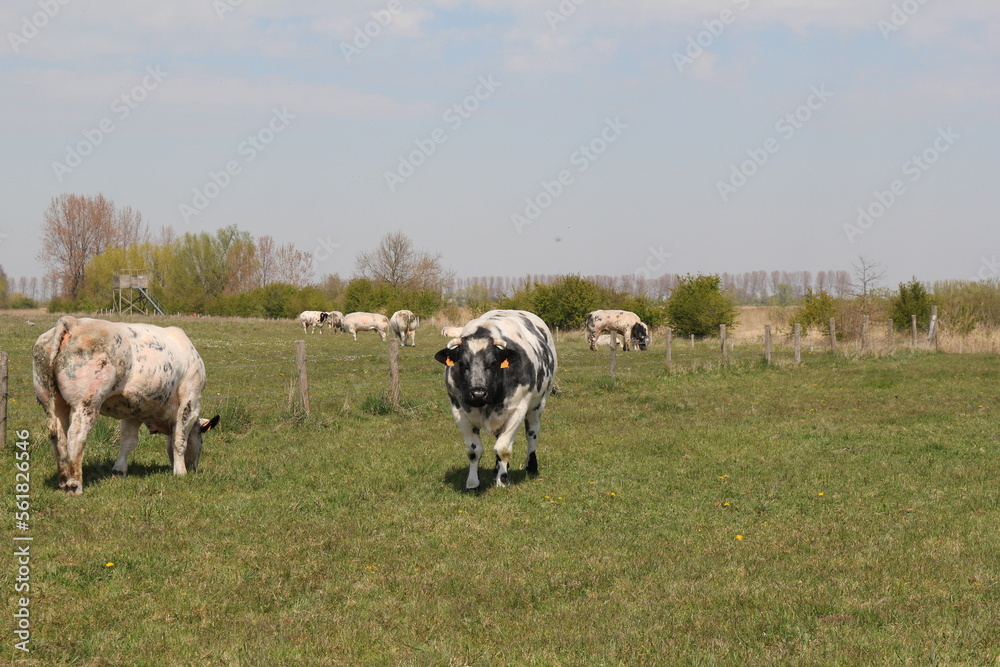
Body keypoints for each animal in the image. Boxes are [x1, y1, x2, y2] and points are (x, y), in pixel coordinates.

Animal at [32, 316, 220, 495]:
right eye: (201, 440)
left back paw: (63, 480)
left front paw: (119, 471)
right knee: (75, 436)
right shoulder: (190, 401)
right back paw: (74, 484)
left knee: (57, 436)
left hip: (52, 401)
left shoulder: (134, 411)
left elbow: (128, 442)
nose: (194, 469)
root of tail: (74, 322)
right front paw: (180, 472)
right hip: (86, 403)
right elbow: (179, 440)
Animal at [434, 309, 557, 490]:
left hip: (538, 404)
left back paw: (531, 467)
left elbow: (503, 448)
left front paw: (503, 480)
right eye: (462, 363)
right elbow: (474, 451)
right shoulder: (460, 412)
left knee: (532, 433)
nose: (478, 393)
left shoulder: (517, 411)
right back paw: (496, 468)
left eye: (493, 363)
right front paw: (473, 483)